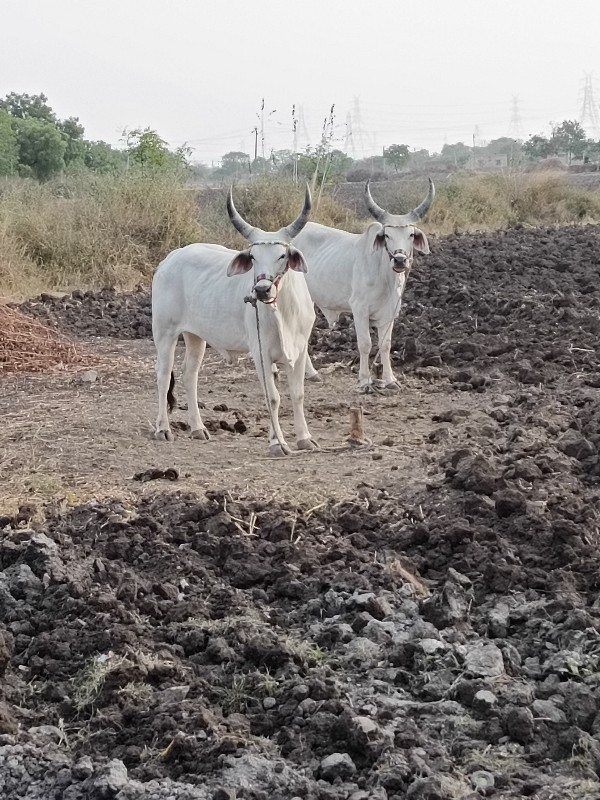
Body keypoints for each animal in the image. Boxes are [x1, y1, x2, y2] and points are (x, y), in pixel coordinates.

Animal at [151, 186, 318, 456]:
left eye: (282, 255)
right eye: (253, 256)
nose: (261, 290)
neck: (283, 313)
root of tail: (171, 258)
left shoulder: (300, 350)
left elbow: (297, 393)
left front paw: (305, 438)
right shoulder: (260, 354)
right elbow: (273, 397)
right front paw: (277, 443)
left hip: (195, 337)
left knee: (189, 375)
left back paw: (198, 428)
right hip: (164, 333)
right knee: (164, 376)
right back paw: (163, 429)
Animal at [296, 181, 434, 394]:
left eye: (411, 234)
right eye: (387, 235)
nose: (400, 260)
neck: (384, 277)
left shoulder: (389, 313)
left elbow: (385, 345)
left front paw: (390, 380)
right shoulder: (359, 309)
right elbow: (365, 344)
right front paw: (364, 380)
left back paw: (311, 373)